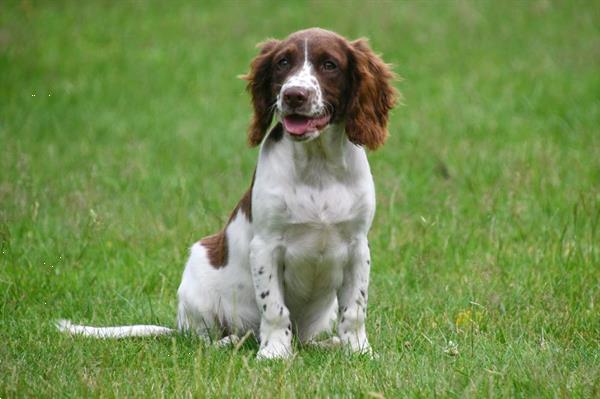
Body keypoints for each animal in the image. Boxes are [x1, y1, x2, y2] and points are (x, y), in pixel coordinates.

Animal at [58, 27, 398, 360]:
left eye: (329, 65)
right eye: (283, 63)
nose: (293, 95)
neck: (317, 167)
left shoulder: (357, 246)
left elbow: (354, 308)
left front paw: (358, 351)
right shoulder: (266, 245)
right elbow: (275, 308)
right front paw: (274, 353)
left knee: (305, 339)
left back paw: (326, 344)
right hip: (198, 278)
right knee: (206, 340)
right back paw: (233, 341)